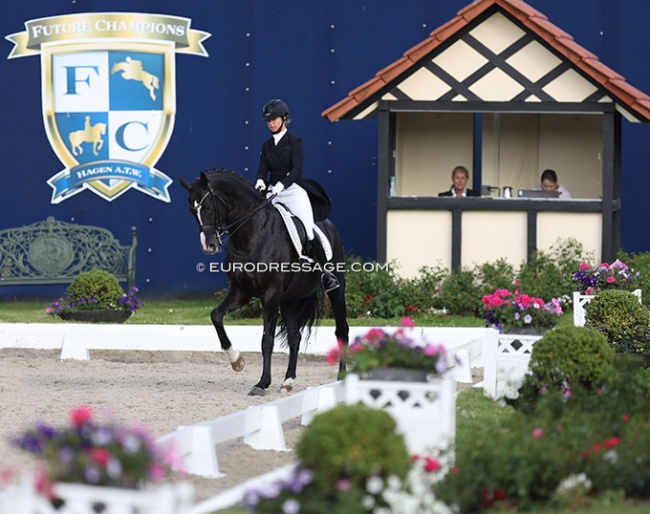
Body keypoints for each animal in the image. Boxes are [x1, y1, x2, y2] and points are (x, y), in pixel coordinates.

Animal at [177, 170, 350, 394]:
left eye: (206, 207)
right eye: (191, 209)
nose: (209, 246)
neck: (252, 232)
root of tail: (327, 224)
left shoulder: (270, 294)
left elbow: (267, 340)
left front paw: (262, 383)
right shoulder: (241, 292)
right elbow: (216, 316)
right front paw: (237, 361)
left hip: (336, 288)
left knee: (342, 330)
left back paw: (342, 376)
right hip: (289, 299)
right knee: (294, 336)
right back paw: (288, 381)